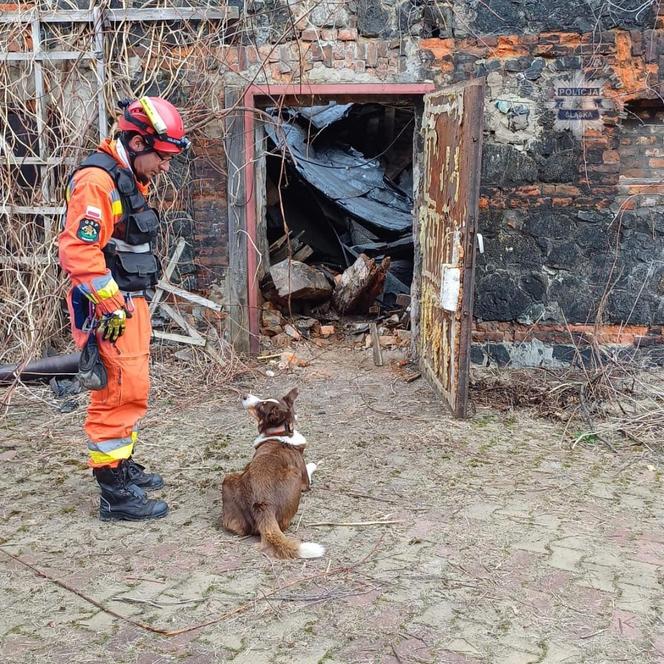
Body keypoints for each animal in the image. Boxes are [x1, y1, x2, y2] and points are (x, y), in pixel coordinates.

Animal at [220, 390, 324, 560]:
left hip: (229, 479)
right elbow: (310, 467)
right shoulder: (305, 481)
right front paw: (315, 464)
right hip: (293, 476)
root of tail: (264, 506)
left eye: (261, 406)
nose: (244, 395)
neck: (281, 431)